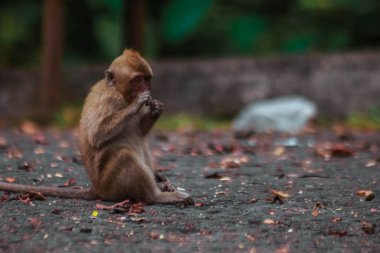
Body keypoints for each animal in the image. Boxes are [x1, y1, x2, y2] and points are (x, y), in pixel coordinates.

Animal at [0, 50, 193, 206]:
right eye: (138, 80)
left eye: (147, 79)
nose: (146, 89)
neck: (120, 93)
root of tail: (97, 188)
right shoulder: (108, 99)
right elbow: (96, 134)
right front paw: (135, 105)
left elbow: (141, 130)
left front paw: (156, 109)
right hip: (110, 185)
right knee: (124, 155)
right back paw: (156, 196)